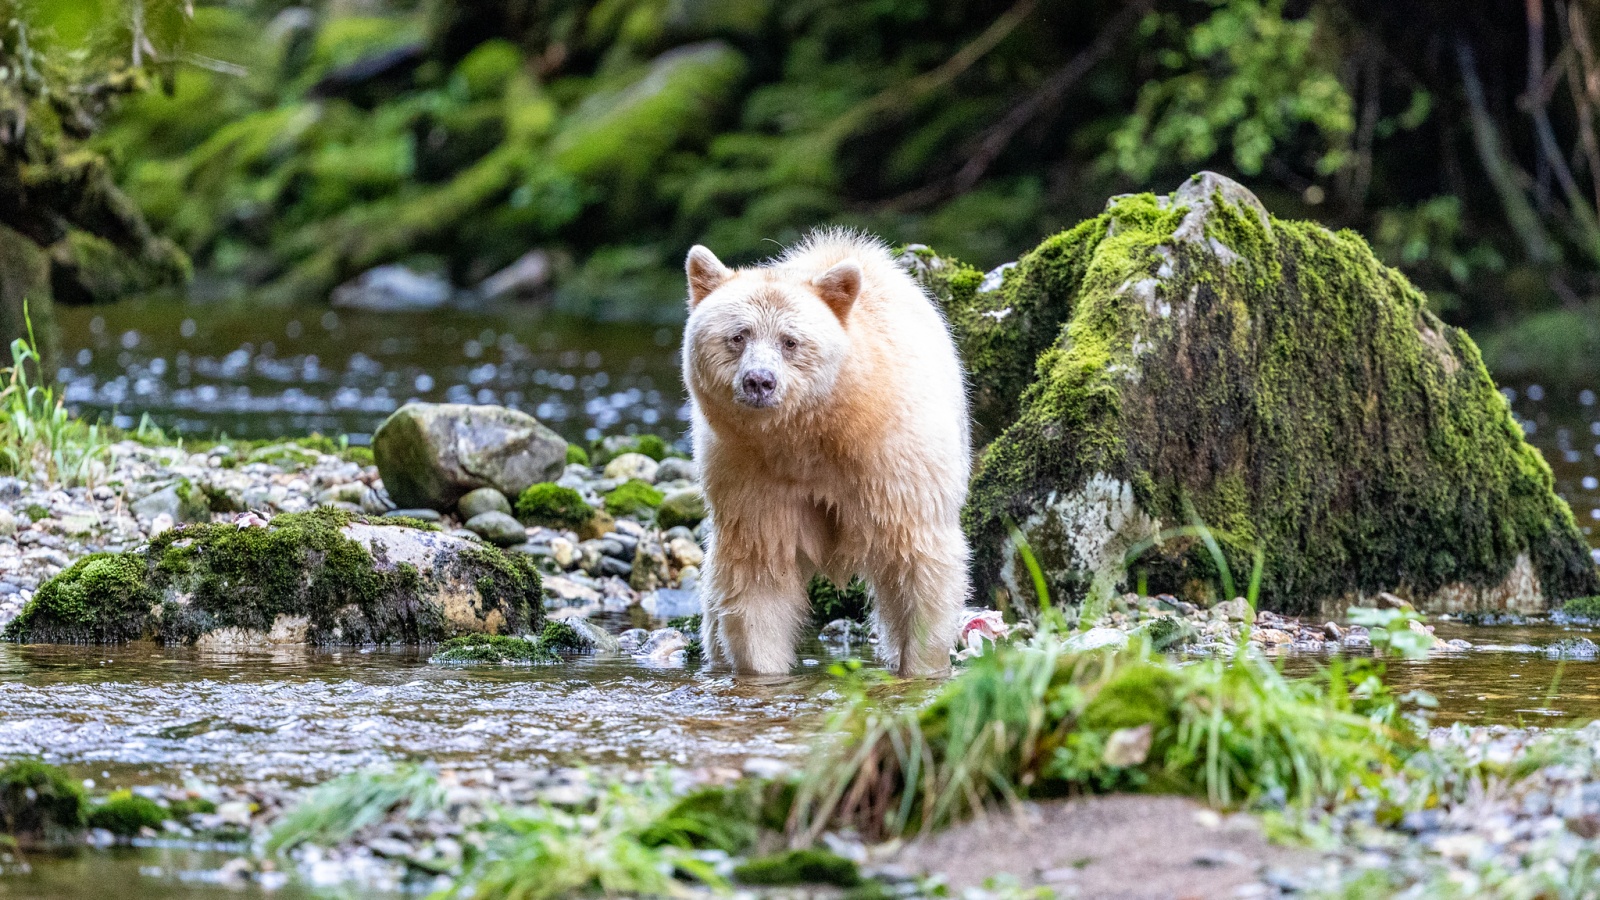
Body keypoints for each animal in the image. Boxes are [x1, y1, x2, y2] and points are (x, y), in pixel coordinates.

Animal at [681, 230, 966, 672]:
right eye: (738, 336)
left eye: (790, 341)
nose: (759, 381)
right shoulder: (750, 476)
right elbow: (760, 577)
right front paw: (765, 670)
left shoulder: (895, 464)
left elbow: (920, 563)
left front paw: (921, 667)